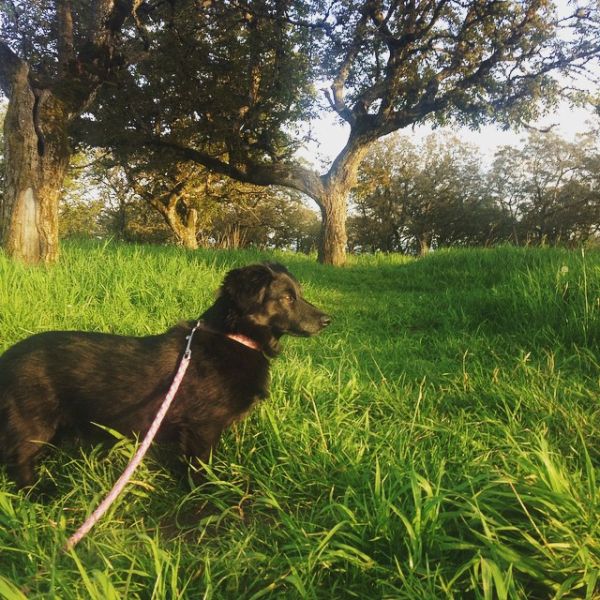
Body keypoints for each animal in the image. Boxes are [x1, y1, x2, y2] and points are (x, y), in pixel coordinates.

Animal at [0, 262, 330, 488]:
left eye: (299, 295)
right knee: (19, 461)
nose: (328, 320)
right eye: (287, 298)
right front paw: (206, 495)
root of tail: (6, 358)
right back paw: (40, 493)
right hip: (33, 425)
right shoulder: (203, 428)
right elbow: (201, 469)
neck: (235, 337)